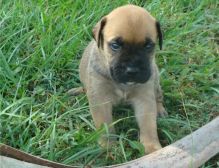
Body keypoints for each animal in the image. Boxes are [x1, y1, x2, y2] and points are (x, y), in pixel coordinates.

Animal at [78, 4, 166, 154]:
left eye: (148, 46)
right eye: (115, 45)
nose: (132, 70)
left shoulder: (144, 99)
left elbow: (148, 125)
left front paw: (152, 147)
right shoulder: (100, 99)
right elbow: (104, 125)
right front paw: (108, 145)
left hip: (155, 78)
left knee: (158, 95)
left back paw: (160, 109)